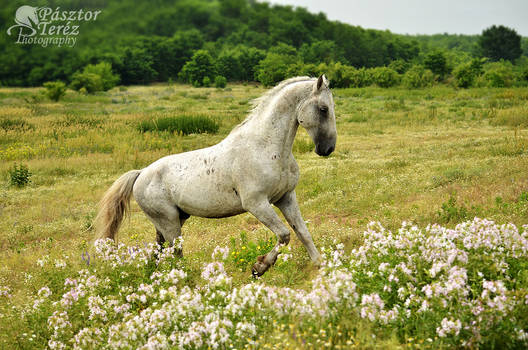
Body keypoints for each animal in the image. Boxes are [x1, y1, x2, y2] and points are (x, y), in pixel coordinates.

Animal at [96, 76, 336, 276]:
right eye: (323, 108)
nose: (327, 149)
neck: (265, 147)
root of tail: (141, 174)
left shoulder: (286, 197)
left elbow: (302, 232)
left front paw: (320, 265)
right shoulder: (257, 203)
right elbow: (285, 235)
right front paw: (259, 267)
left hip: (172, 220)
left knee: (159, 251)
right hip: (169, 222)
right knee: (175, 253)